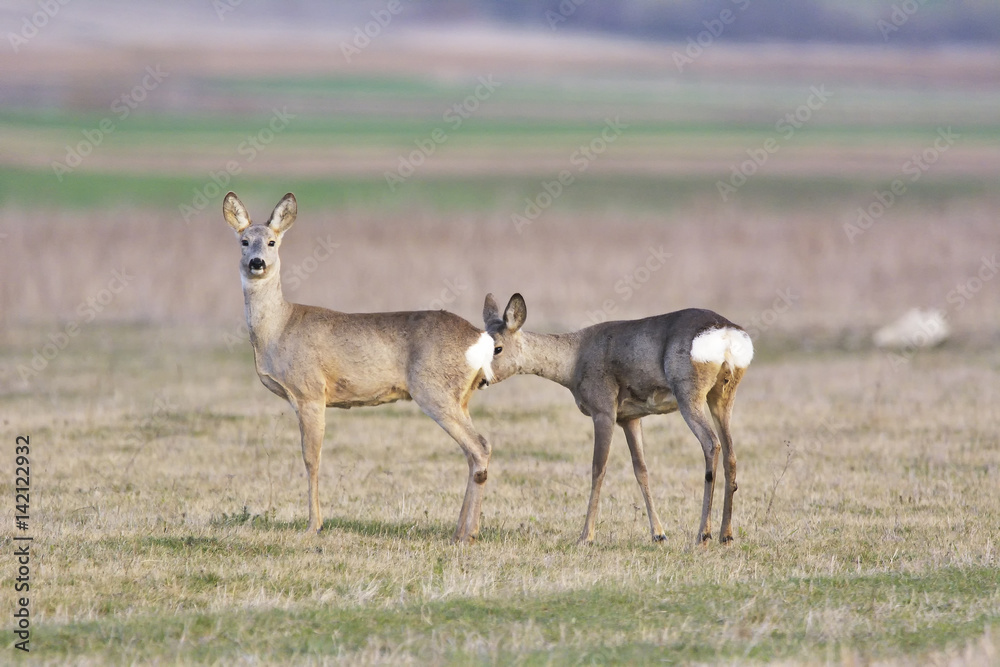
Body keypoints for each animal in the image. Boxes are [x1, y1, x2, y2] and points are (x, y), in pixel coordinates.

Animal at [223, 191, 499, 543]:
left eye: (272, 242)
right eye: (244, 241)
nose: (256, 262)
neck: (278, 327)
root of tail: (480, 338)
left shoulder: (310, 392)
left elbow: (311, 458)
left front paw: (313, 526)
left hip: (434, 390)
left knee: (479, 446)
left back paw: (466, 534)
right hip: (460, 397)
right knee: (475, 450)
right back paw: (463, 530)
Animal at [483, 293, 753, 545]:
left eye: (498, 348)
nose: (481, 379)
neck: (573, 362)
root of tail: (727, 332)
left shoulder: (603, 410)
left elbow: (598, 468)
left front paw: (586, 536)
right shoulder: (630, 418)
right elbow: (641, 470)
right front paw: (659, 534)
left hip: (689, 393)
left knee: (711, 444)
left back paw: (703, 535)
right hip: (723, 396)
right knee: (730, 454)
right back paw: (726, 535)